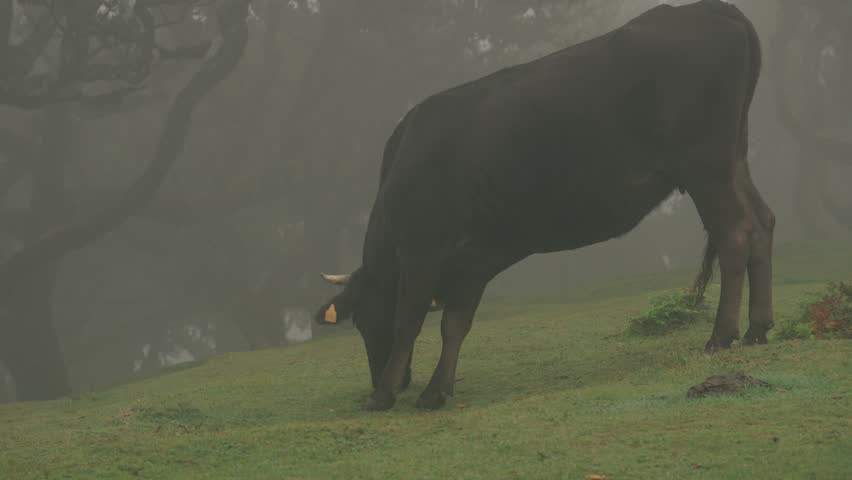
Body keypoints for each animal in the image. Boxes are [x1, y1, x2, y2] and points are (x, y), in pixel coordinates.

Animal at [315, 0, 775, 411]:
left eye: (360, 320)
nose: (385, 378)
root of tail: (708, 8)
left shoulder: (421, 247)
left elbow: (408, 320)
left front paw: (383, 396)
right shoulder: (473, 260)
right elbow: (454, 325)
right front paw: (435, 392)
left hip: (704, 166)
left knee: (734, 234)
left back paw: (721, 335)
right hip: (733, 158)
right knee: (762, 223)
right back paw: (758, 326)